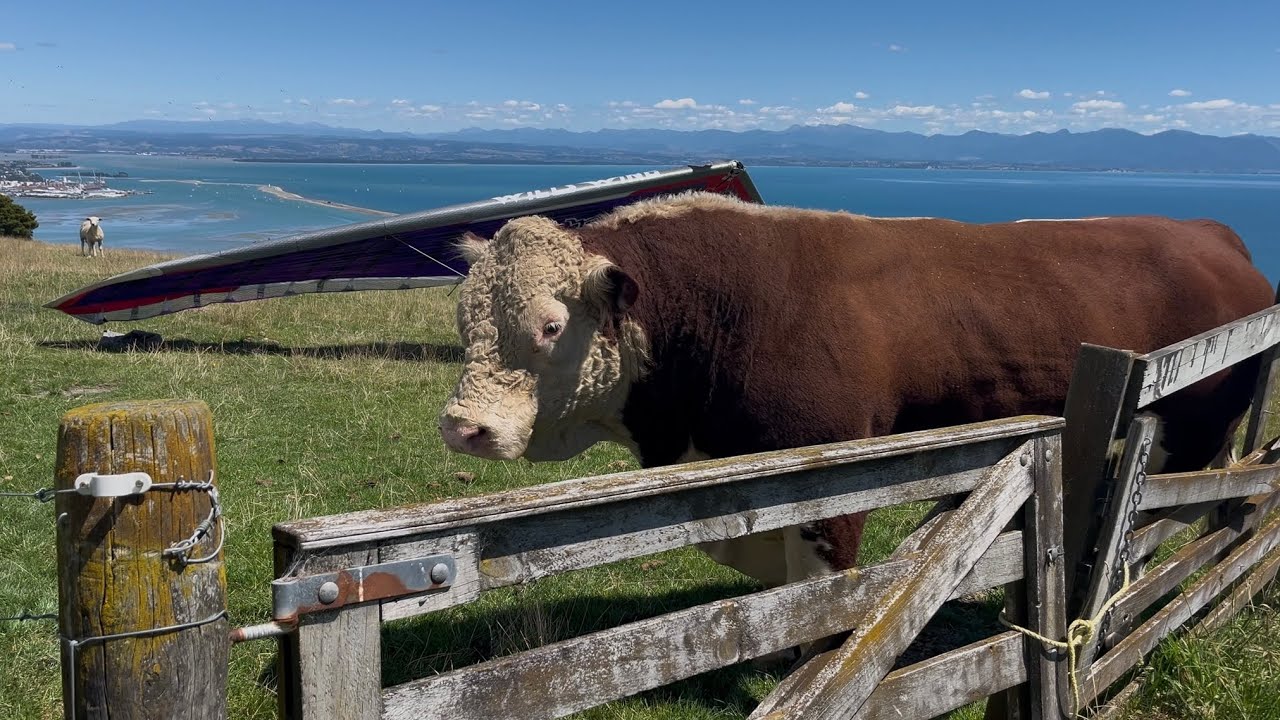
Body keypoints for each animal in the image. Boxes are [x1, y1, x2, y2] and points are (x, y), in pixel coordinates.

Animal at [438, 191, 1274, 590]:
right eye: (464, 316)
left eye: (551, 325)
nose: (462, 425)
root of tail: (1208, 232)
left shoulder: (832, 473)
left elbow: (821, 598)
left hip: (1191, 433)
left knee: (1162, 520)